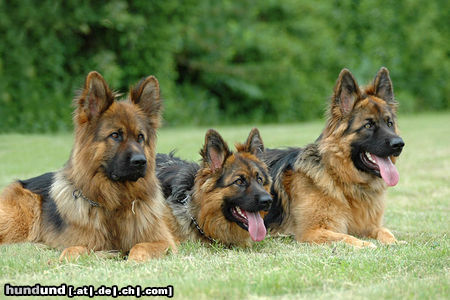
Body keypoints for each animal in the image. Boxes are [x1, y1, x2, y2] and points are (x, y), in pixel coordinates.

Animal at [0, 70, 176, 260]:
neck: (114, 204)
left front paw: (133, 259)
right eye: (115, 135)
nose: (140, 161)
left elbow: (140, 247)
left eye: (140, 137)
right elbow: (74, 249)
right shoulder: (83, 242)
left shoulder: (166, 242)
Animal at [262, 68, 406, 248]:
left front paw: (395, 242)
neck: (340, 177)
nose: (399, 144)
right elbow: (346, 237)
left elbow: (384, 231)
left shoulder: (368, 226)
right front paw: (366, 245)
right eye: (368, 125)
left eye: (389, 123)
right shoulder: (312, 232)